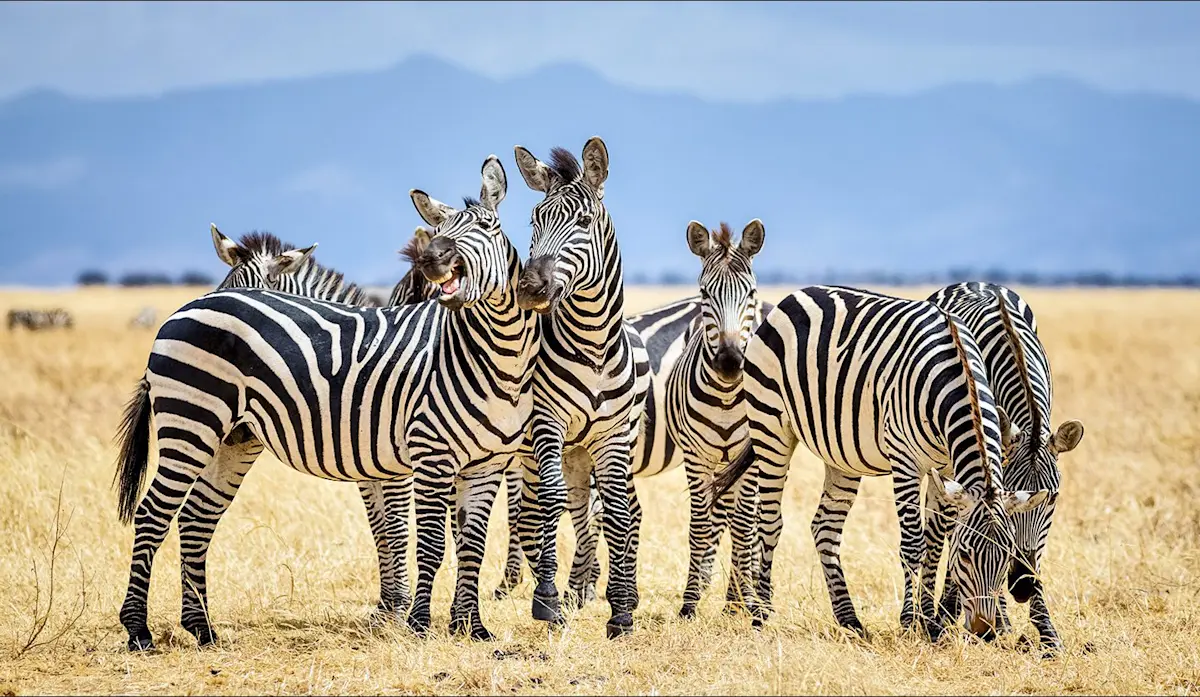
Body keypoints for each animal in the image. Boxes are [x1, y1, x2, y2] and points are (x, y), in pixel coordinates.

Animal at [113, 155, 539, 650]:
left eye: (488, 225)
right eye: (439, 230)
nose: (434, 259)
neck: (494, 354)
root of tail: (182, 311)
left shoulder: (481, 462)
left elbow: (466, 541)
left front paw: (468, 626)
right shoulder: (423, 456)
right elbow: (418, 537)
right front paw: (411, 620)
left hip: (232, 438)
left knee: (196, 518)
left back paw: (201, 627)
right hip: (191, 422)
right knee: (153, 515)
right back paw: (139, 630)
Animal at [508, 138, 648, 639]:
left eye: (584, 223)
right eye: (533, 221)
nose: (529, 288)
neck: (593, 346)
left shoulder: (612, 436)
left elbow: (620, 512)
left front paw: (621, 610)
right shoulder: (546, 424)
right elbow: (550, 503)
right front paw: (547, 598)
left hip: (591, 448)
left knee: (601, 511)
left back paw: (593, 590)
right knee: (561, 509)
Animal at [668, 219, 772, 620]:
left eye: (751, 293)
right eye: (704, 293)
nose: (729, 363)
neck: (727, 396)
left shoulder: (753, 459)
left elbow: (744, 527)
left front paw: (747, 602)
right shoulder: (696, 457)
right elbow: (700, 524)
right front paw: (689, 603)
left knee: (751, 521)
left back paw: (742, 596)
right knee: (718, 517)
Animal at [710, 285, 1053, 641]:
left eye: (1006, 556)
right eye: (965, 556)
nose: (984, 631)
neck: (957, 377)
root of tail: (794, 296)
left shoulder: (945, 468)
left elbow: (934, 542)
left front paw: (930, 623)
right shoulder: (905, 462)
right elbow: (914, 544)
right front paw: (911, 621)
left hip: (841, 455)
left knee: (825, 527)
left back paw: (849, 619)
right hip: (772, 427)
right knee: (769, 520)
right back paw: (761, 614)